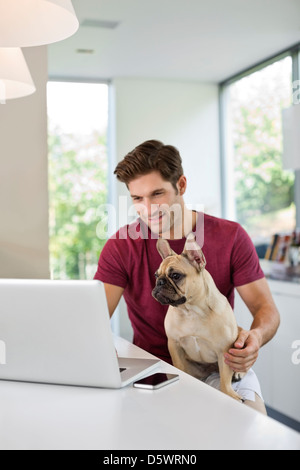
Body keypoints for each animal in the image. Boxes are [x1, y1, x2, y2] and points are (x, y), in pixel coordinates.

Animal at [152, 235, 244, 400]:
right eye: (156, 275)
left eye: (175, 275)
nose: (160, 282)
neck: (191, 311)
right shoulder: (174, 344)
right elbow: (179, 366)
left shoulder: (225, 350)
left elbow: (225, 379)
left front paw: (229, 395)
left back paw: (239, 372)